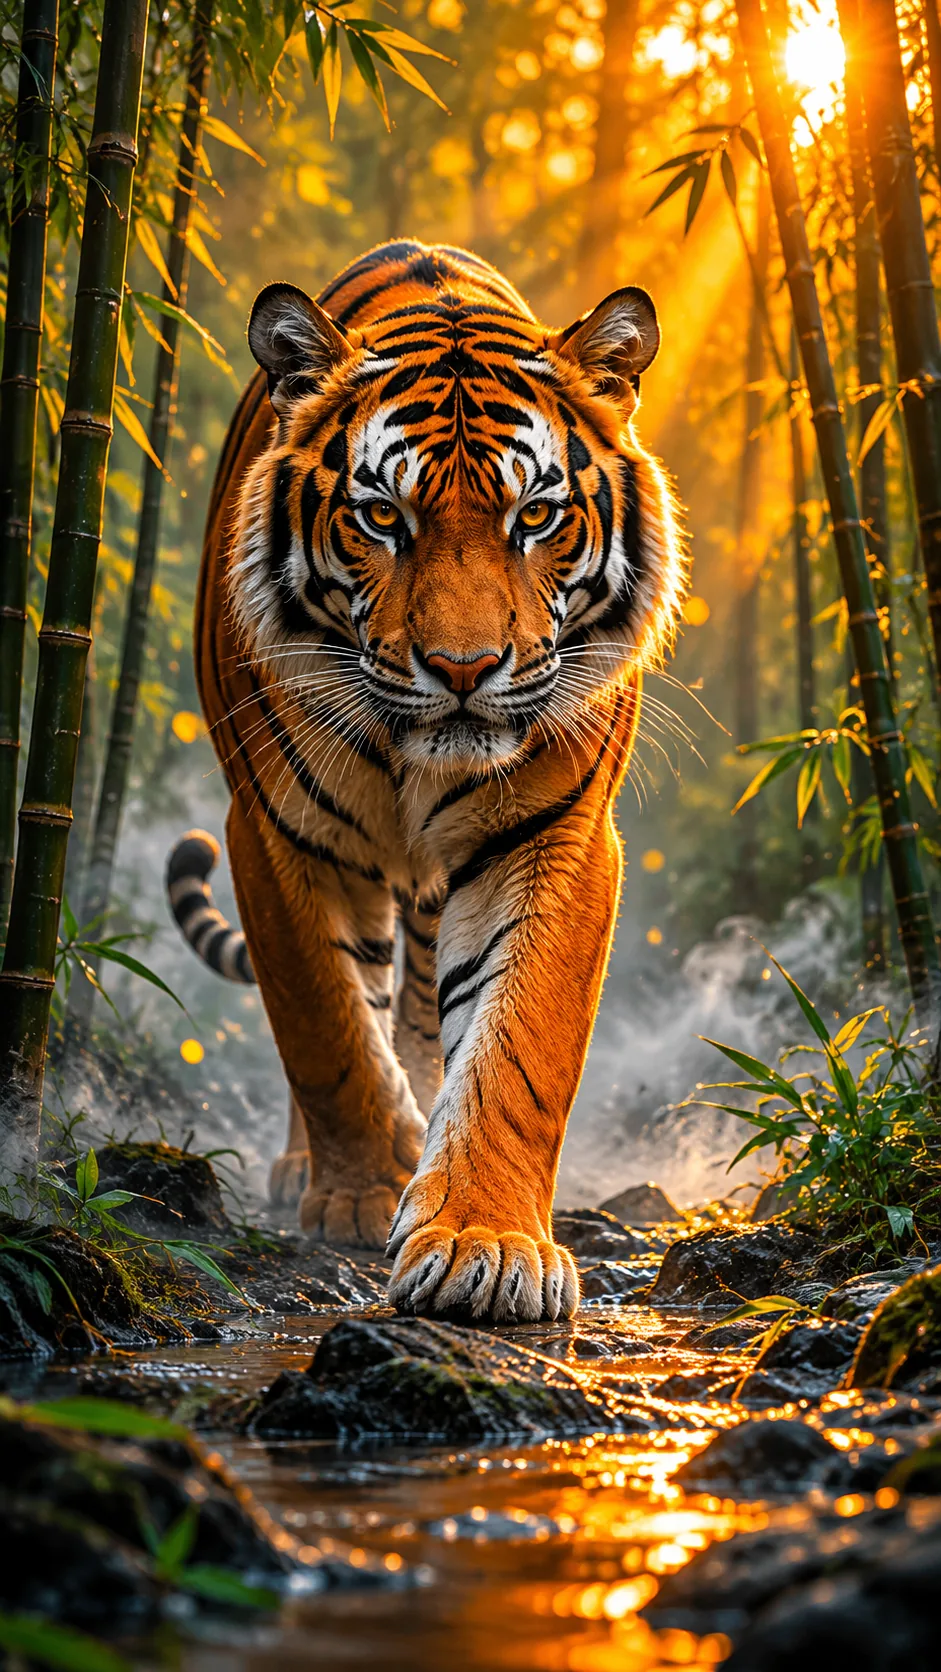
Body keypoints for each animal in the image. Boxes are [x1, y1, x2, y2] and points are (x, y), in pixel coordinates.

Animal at [166, 239, 685, 1324]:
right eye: (380, 517)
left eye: (536, 517)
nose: (462, 667)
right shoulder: (270, 833)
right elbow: (324, 1029)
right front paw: (364, 1194)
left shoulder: (555, 832)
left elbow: (517, 1044)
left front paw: (481, 1242)